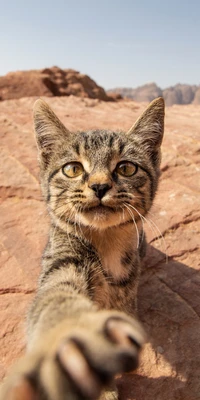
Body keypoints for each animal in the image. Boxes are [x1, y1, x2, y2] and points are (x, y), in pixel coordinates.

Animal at [0, 97, 165, 400]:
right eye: (73, 169)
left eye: (126, 168)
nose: (99, 186)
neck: (107, 242)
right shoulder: (63, 260)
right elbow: (56, 297)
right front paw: (69, 338)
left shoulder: (126, 290)